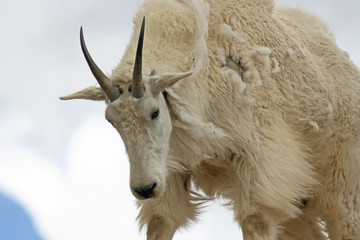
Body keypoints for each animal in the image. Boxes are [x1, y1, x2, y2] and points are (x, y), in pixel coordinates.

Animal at [60, 0, 360, 239]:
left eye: (155, 112)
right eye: (112, 121)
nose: (144, 188)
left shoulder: (262, 162)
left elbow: (256, 221)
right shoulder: (170, 168)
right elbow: (161, 221)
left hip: (343, 187)